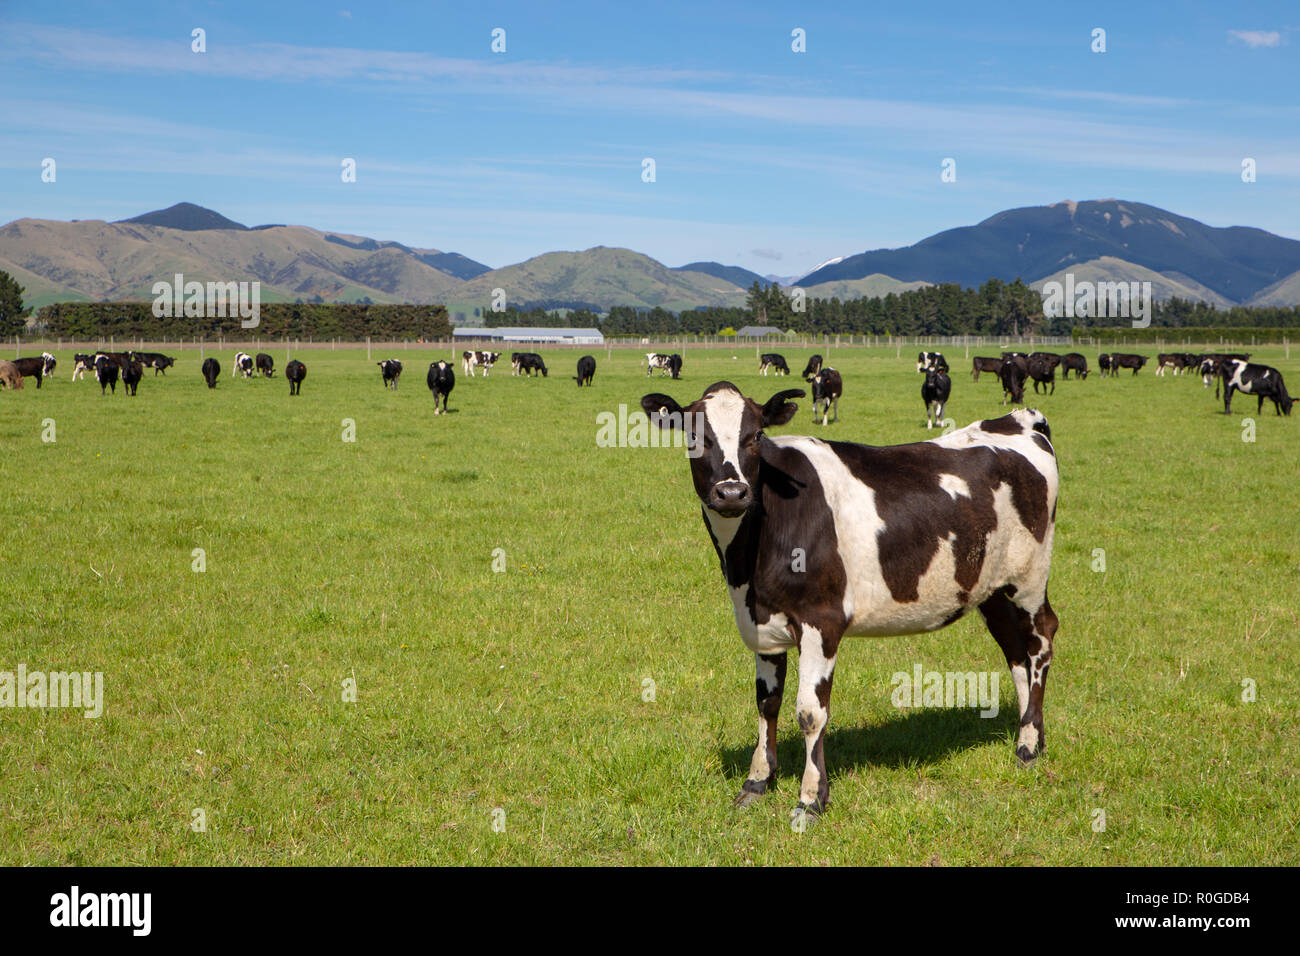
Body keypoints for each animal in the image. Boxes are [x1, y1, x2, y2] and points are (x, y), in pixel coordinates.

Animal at [638, 383, 1059, 819]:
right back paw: (1029, 734)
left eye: (756, 436)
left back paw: (1028, 746)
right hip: (991, 589)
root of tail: (1016, 421)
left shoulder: (822, 620)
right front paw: (757, 782)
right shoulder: (761, 625)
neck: (747, 565)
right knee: (1015, 651)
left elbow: (810, 712)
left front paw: (810, 800)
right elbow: (767, 703)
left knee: (1040, 641)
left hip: (1028, 579)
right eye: (693, 435)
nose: (732, 492)